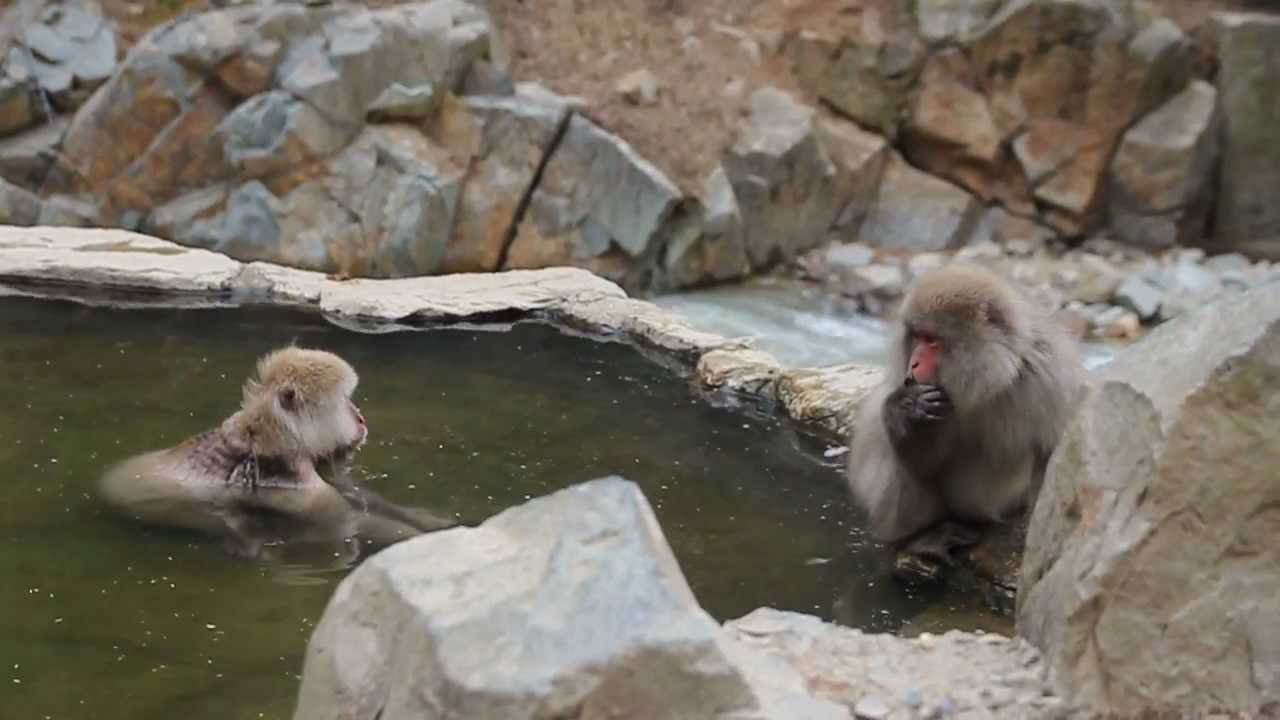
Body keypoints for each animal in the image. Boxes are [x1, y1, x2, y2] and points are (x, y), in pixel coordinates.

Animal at [98, 347, 456, 559]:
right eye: (344, 401)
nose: (360, 418)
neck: (273, 442)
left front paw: (426, 519)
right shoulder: (301, 487)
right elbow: (348, 520)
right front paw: (415, 539)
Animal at [845, 263, 1085, 568]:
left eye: (932, 340)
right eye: (916, 336)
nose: (914, 362)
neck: (988, 380)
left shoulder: (1052, 382)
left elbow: (1052, 458)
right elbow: (923, 461)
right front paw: (903, 408)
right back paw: (919, 537)